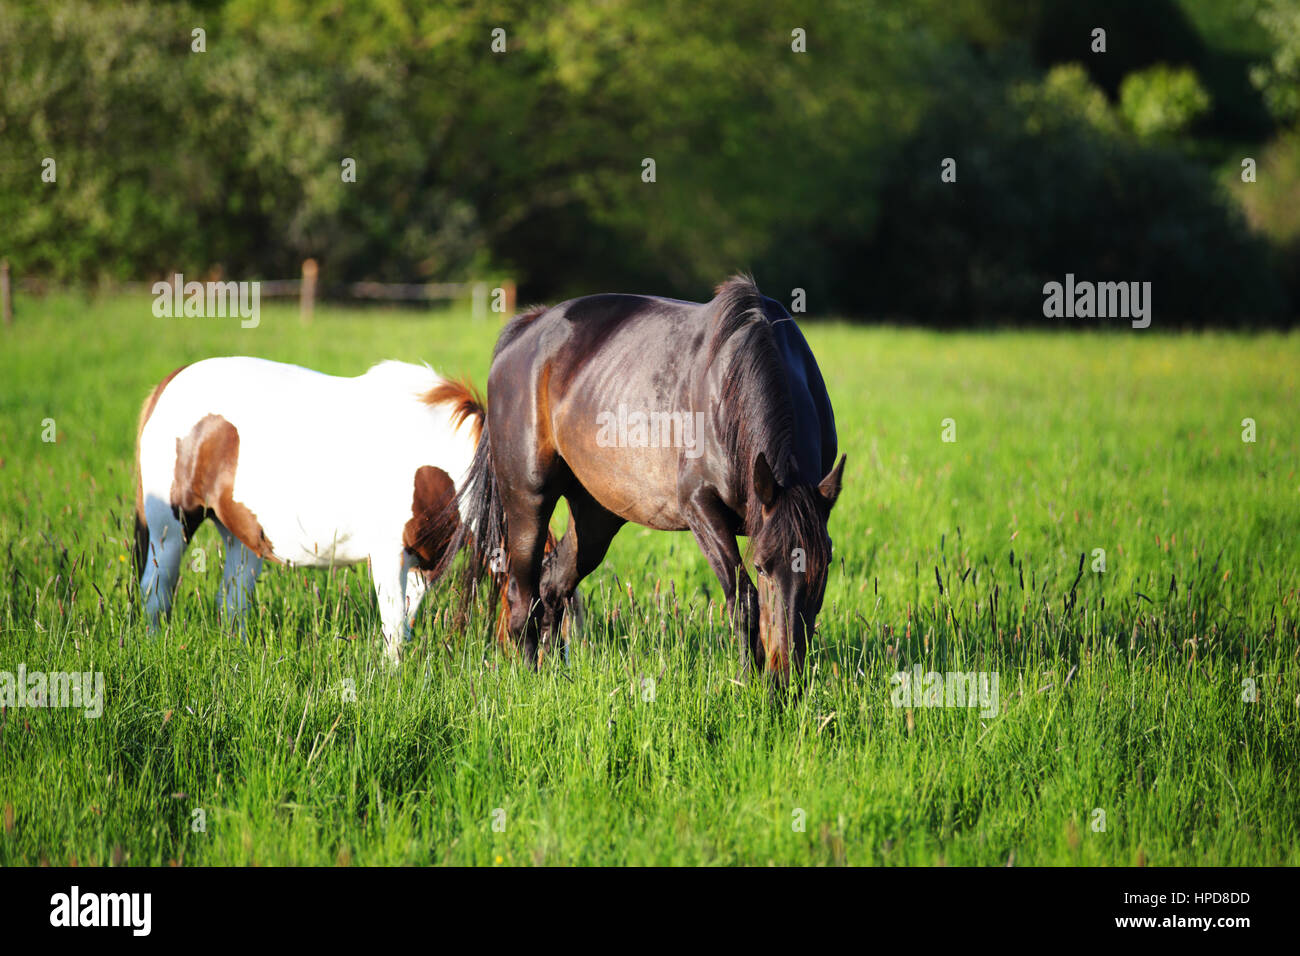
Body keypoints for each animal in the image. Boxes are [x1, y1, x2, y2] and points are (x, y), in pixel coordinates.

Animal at [133, 356, 483, 660]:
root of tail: (172, 380)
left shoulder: (423, 564)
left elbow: (403, 624)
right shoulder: (389, 554)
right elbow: (394, 626)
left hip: (240, 537)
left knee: (232, 601)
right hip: (171, 530)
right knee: (156, 592)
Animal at [457, 273, 842, 686]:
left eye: (825, 565)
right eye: (762, 566)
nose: (788, 676)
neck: (730, 389)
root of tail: (524, 332)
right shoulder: (701, 507)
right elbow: (743, 601)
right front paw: (745, 681)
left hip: (596, 516)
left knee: (553, 584)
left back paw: (558, 673)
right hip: (528, 499)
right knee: (522, 594)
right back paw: (532, 675)